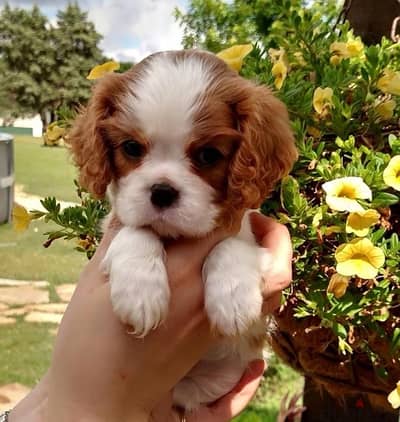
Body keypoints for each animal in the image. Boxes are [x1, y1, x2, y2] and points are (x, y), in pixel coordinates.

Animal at [68, 48, 296, 408]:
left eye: (208, 155)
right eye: (131, 148)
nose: (162, 191)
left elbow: (230, 245)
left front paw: (233, 298)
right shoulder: (117, 223)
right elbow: (136, 230)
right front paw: (140, 291)